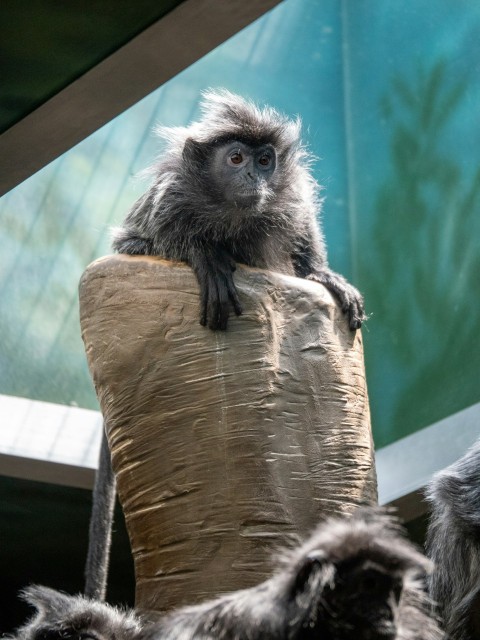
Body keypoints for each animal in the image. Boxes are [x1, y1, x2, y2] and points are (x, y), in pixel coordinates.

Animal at [112, 90, 366, 330]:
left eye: (264, 161)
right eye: (236, 158)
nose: (252, 175)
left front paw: (320, 273)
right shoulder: (166, 199)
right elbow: (134, 244)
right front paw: (207, 255)